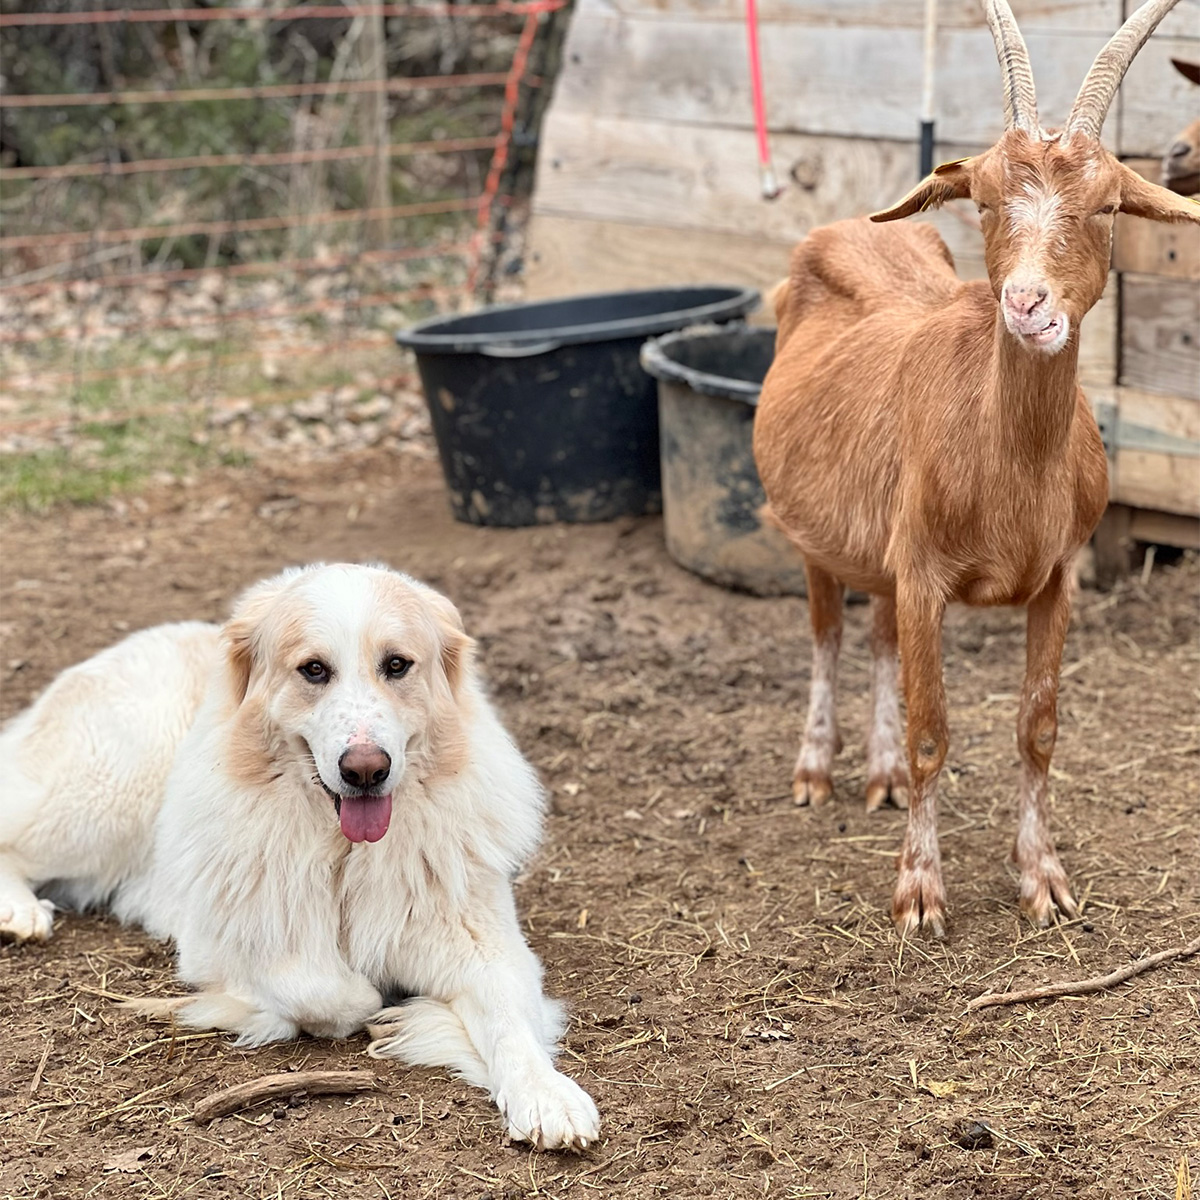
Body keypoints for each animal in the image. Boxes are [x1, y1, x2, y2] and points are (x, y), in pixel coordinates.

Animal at [0, 566, 600, 1147]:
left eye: (397, 665)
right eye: (313, 670)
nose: (366, 770)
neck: (345, 850)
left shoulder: (488, 947)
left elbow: (509, 1022)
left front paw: (546, 1095)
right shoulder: (220, 944)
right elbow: (324, 987)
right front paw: (375, 1012)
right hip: (110, 793)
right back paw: (21, 913)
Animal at [753, 0, 1195, 936]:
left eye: (1107, 204)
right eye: (987, 200)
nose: (1026, 304)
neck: (1008, 468)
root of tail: (837, 230)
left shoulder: (1058, 576)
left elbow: (1038, 728)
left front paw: (1043, 879)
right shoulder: (924, 573)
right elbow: (934, 732)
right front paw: (920, 894)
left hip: (879, 548)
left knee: (878, 636)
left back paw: (879, 775)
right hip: (811, 540)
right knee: (829, 634)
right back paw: (816, 771)